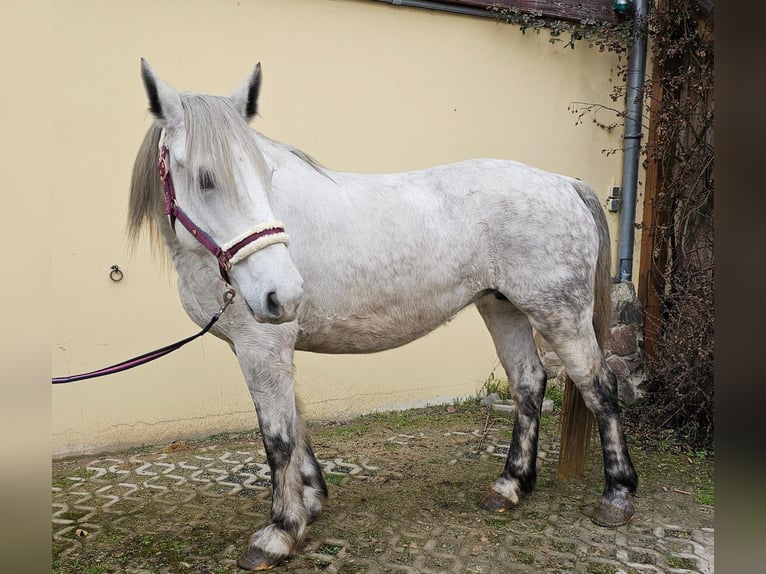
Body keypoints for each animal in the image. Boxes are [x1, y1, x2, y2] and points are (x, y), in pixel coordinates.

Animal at [129, 60, 640, 572]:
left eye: (263, 172)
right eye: (205, 179)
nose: (283, 293)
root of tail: (563, 182)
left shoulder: (262, 346)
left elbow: (277, 437)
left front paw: (279, 531)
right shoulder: (271, 349)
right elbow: (296, 421)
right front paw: (310, 503)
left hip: (560, 315)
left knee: (599, 386)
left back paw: (617, 495)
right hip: (503, 308)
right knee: (529, 383)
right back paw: (510, 485)